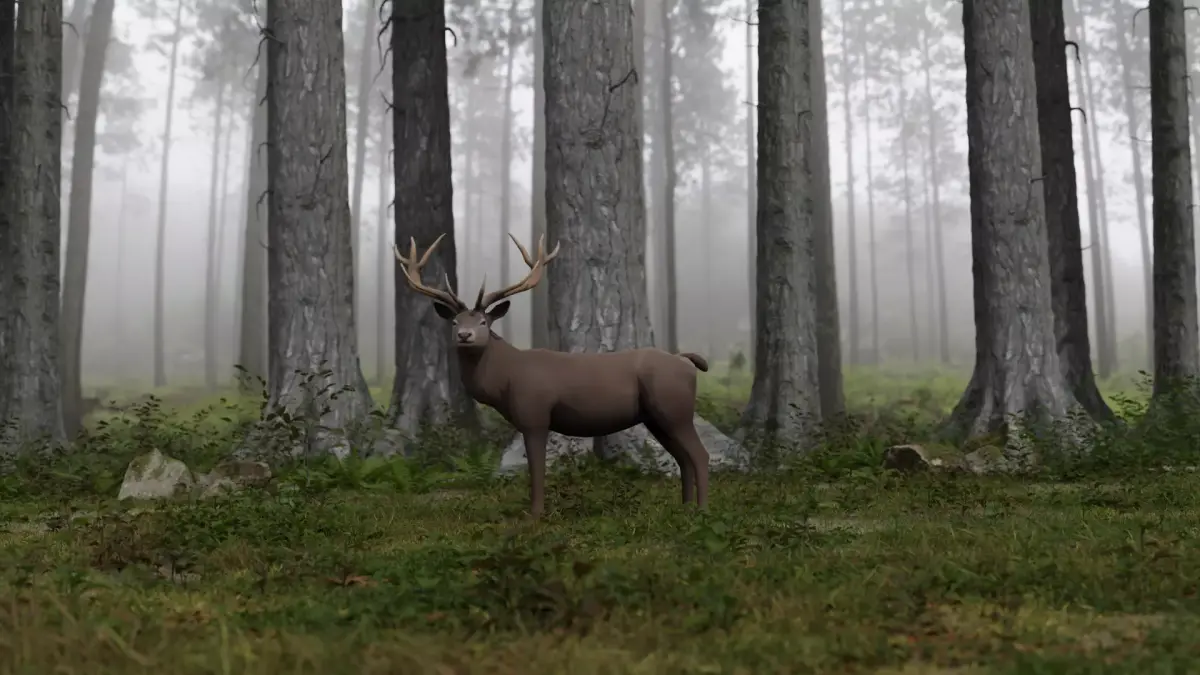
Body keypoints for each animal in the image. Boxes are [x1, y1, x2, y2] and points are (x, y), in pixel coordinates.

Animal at [394, 233, 711, 518]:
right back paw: (685, 508)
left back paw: (702, 510)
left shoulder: (535, 415)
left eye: (483, 321)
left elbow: (537, 468)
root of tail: (686, 362)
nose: (464, 335)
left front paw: (535, 515)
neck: (507, 379)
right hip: (657, 417)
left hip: (675, 409)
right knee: (683, 458)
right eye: (455, 321)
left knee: (699, 454)